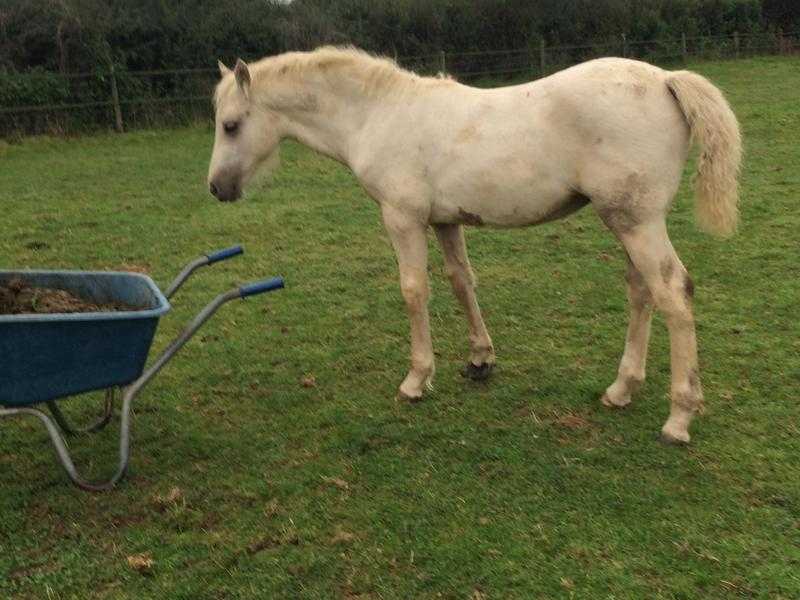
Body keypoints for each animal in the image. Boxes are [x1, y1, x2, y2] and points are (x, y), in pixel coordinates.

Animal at [208, 47, 744, 442]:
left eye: (231, 125)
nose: (216, 188)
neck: (379, 114)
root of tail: (666, 80)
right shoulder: (447, 221)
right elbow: (461, 281)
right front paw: (480, 360)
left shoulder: (402, 219)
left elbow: (414, 291)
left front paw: (416, 380)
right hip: (628, 222)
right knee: (641, 291)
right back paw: (621, 389)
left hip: (636, 222)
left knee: (673, 293)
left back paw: (678, 418)